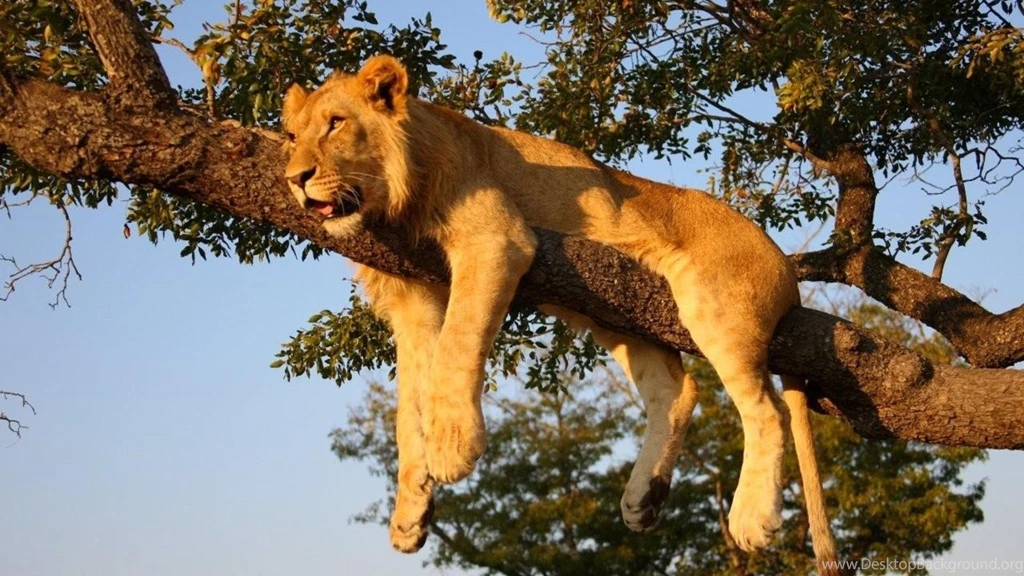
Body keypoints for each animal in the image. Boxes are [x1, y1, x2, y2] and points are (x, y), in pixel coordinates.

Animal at [281, 55, 839, 573]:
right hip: (619, 316)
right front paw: (410, 513)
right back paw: (645, 497)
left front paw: (452, 445)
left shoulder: (495, 237)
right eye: (291, 136)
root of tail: (787, 272)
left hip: (710, 300)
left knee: (767, 409)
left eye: (335, 123)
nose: (294, 179)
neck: (391, 200)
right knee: (678, 392)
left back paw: (751, 517)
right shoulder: (412, 300)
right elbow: (408, 407)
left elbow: (457, 345)